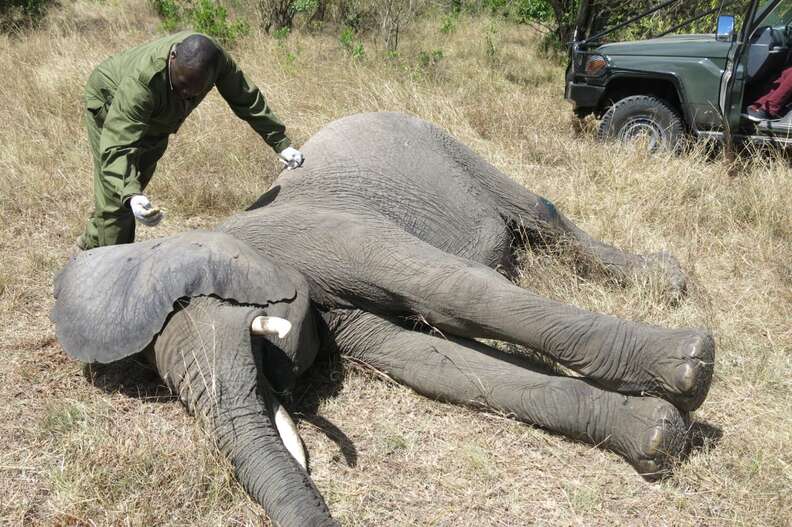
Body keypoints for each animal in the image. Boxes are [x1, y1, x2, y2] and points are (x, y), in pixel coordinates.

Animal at [52, 112, 715, 527]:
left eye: (223, 308)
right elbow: (435, 364)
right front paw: (657, 436)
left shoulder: (324, 232)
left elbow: (449, 292)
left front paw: (691, 369)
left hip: (450, 146)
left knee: (542, 215)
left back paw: (666, 283)